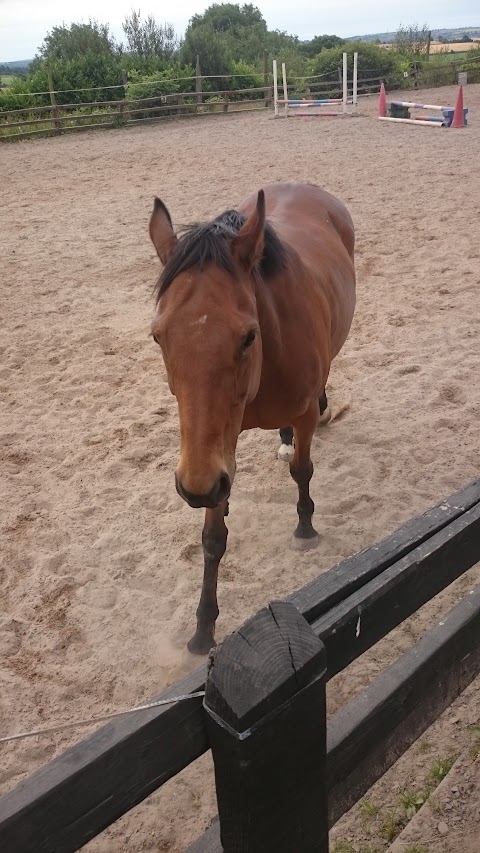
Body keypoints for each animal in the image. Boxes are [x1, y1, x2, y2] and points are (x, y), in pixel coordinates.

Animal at [150, 181, 356, 652]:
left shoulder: (299, 416)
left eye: (248, 336)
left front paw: (305, 528)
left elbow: (303, 469)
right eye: (158, 336)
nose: (195, 488)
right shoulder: (214, 452)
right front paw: (203, 629)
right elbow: (212, 537)